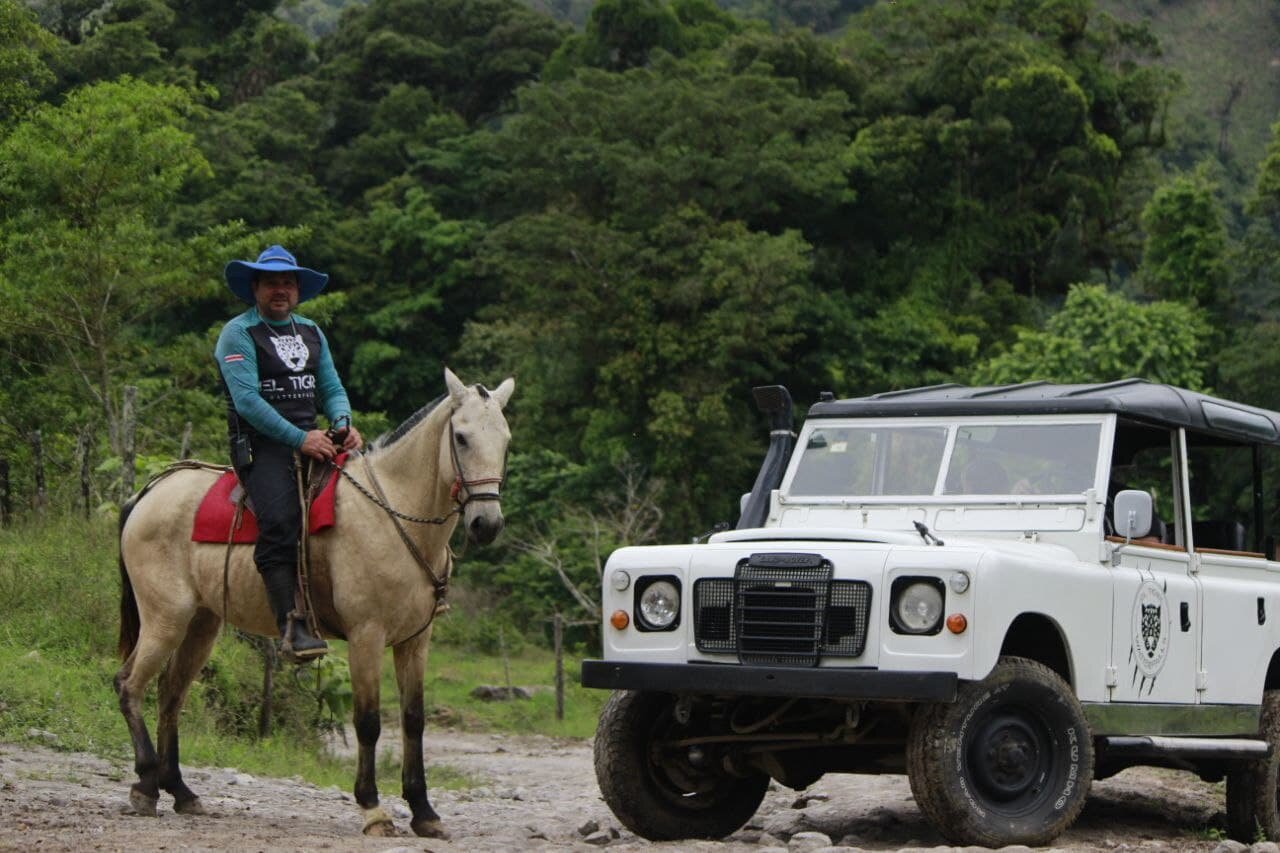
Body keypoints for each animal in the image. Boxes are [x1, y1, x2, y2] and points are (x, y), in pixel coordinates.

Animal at [116, 361, 514, 835]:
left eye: (505, 441)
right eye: (462, 437)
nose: (487, 524)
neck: (392, 514)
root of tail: (148, 493)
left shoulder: (415, 641)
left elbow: (413, 721)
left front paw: (423, 811)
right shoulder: (366, 636)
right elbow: (368, 722)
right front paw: (373, 808)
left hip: (201, 624)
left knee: (170, 694)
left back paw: (179, 790)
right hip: (166, 618)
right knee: (129, 685)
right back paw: (145, 785)